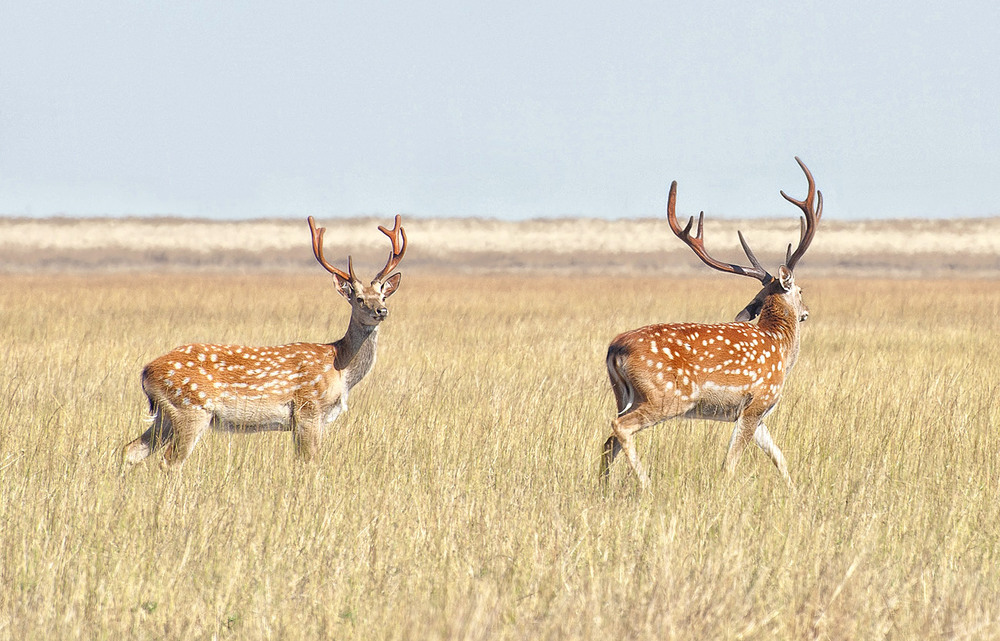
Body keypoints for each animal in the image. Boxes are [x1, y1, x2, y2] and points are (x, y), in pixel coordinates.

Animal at [122, 215, 406, 470]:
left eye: (383, 295)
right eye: (358, 298)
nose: (381, 311)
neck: (339, 365)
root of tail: (146, 371)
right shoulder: (308, 408)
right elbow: (310, 462)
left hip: (166, 415)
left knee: (131, 449)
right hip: (191, 408)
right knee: (170, 461)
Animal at [600, 158, 820, 488]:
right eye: (801, 290)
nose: (807, 311)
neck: (780, 347)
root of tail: (615, 348)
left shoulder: (760, 414)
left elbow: (779, 457)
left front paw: (794, 491)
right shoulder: (758, 401)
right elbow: (730, 462)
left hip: (623, 394)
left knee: (608, 440)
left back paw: (600, 484)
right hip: (666, 396)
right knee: (620, 427)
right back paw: (646, 484)